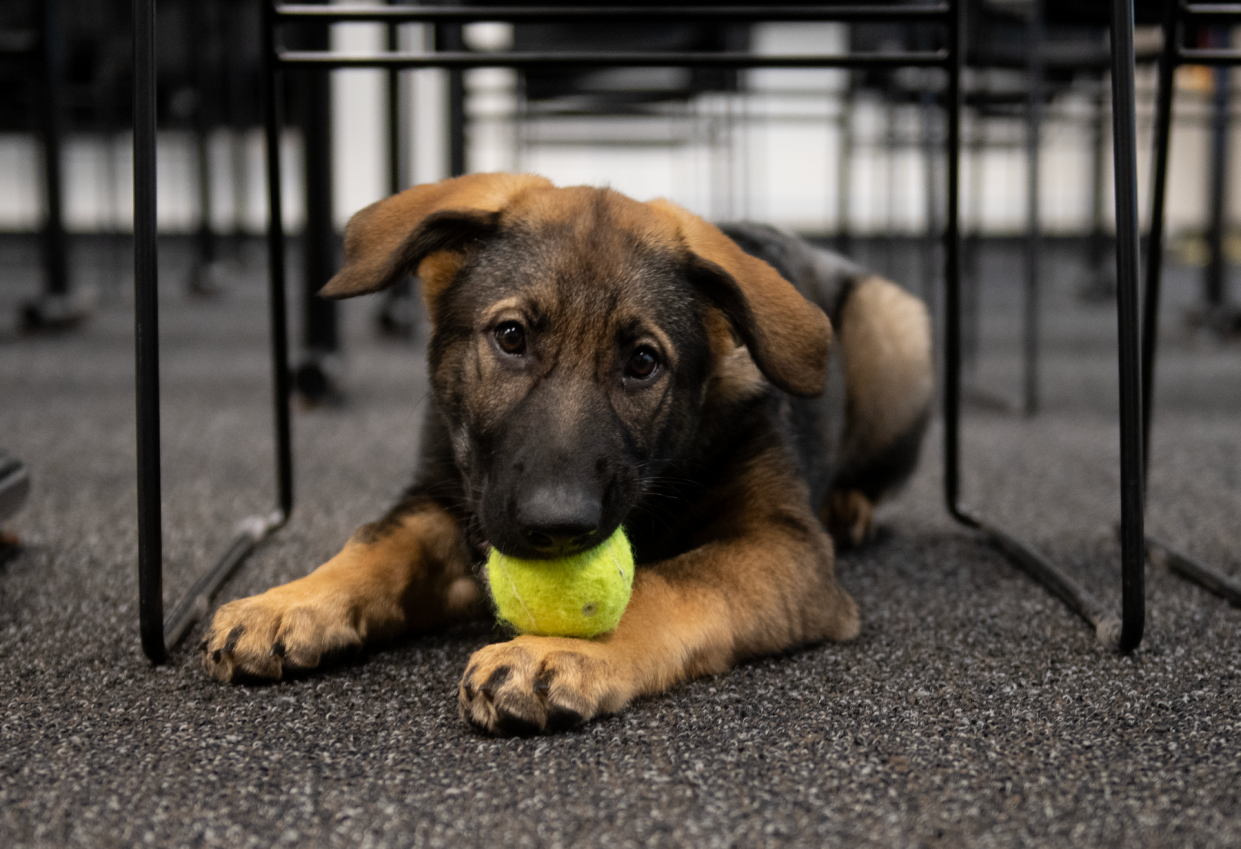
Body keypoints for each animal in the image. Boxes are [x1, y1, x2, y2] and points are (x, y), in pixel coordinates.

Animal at [201, 173, 933, 734]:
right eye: (510, 336)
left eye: (643, 362)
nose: (556, 526)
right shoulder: (446, 501)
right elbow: (375, 542)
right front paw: (288, 602)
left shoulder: (783, 545)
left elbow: (664, 582)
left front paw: (555, 651)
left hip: (895, 326)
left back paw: (851, 504)